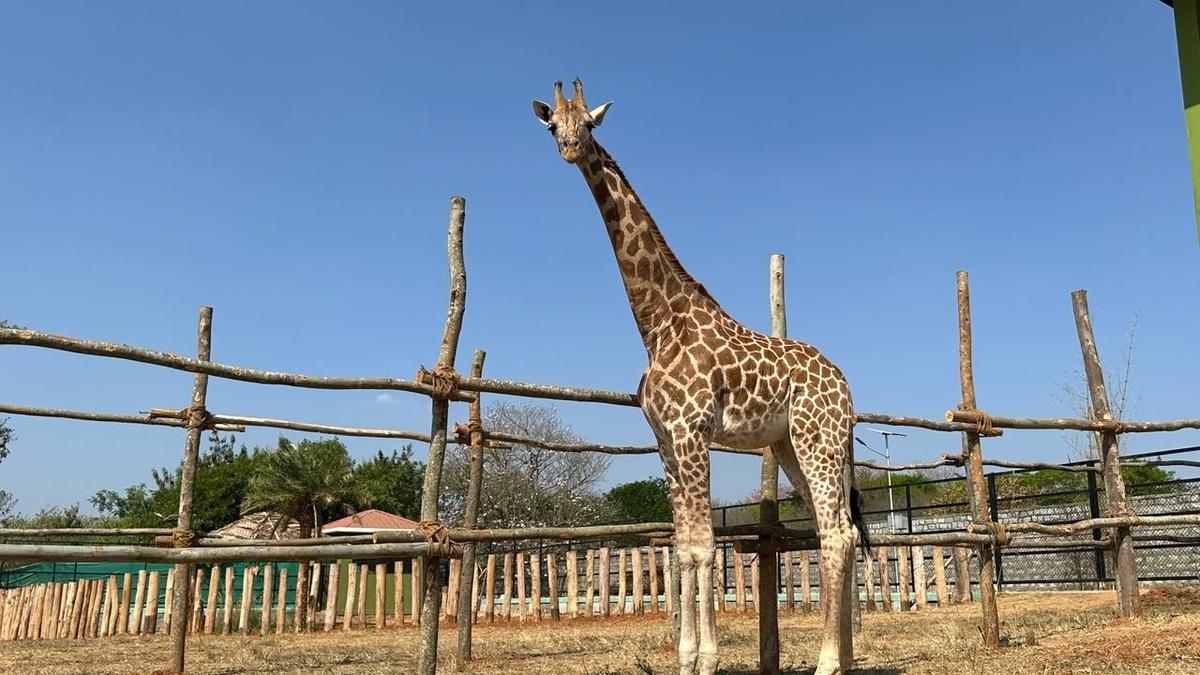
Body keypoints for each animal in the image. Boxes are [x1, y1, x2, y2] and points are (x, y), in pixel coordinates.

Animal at [532, 80, 869, 675]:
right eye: (554, 125)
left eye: (589, 124)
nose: (570, 148)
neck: (656, 324)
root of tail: (845, 385)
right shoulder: (665, 439)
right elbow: (683, 545)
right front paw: (686, 657)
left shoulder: (692, 430)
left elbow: (706, 545)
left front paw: (707, 658)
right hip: (791, 446)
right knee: (842, 532)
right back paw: (845, 659)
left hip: (817, 440)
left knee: (833, 533)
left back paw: (829, 661)